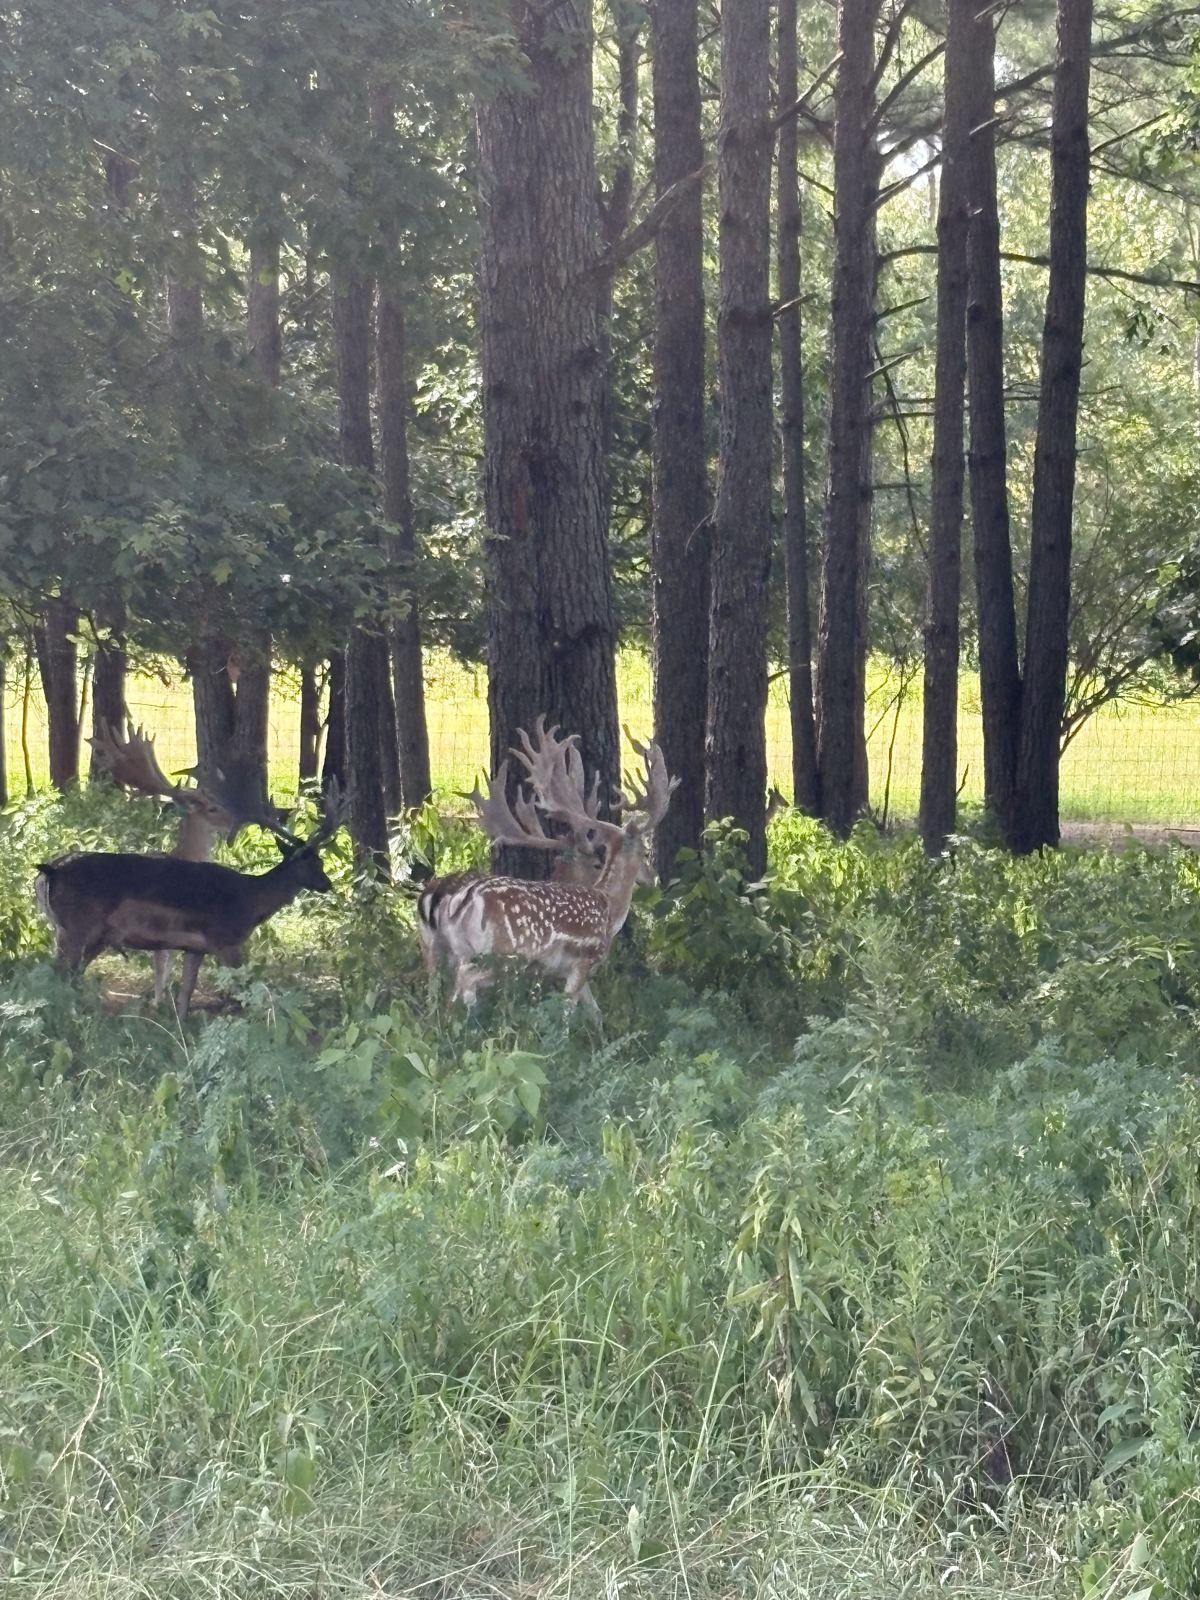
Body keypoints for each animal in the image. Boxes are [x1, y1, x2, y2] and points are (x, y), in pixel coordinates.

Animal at [36, 786, 347, 1021]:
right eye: (309, 862)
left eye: (321, 860)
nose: (327, 884)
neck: (250, 902)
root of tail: (49, 870)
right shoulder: (225, 939)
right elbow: (242, 990)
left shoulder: (195, 947)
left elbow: (186, 994)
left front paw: (180, 1027)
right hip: (75, 928)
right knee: (59, 974)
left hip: (87, 934)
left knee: (70, 975)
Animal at [418, 719, 677, 1021]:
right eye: (646, 852)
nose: (653, 878)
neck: (609, 907)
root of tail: (458, 900)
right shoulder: (585, 958)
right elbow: (566, 1009)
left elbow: (595, 1012)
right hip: (501, 953)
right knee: (464, 982)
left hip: (438, 946)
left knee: (440, 986)